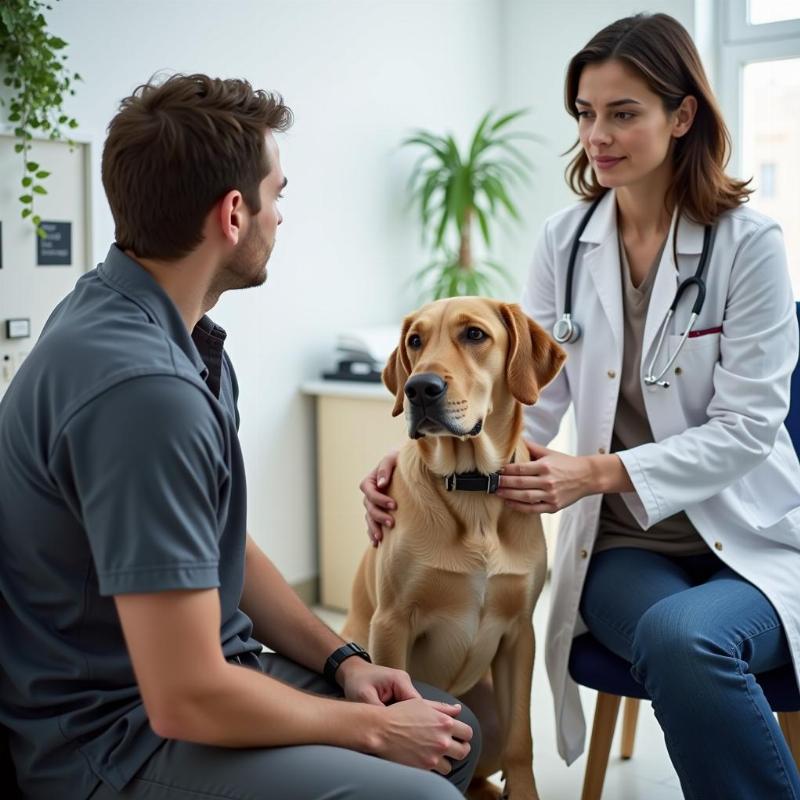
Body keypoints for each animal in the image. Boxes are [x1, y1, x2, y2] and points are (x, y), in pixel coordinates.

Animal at [340, 296, 564, 800]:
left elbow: (523, 740)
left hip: (490, 710)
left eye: (475, 335)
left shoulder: (519, 634)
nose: (420, 389)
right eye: (414, 341)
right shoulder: (391, 624)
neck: (472, 490)